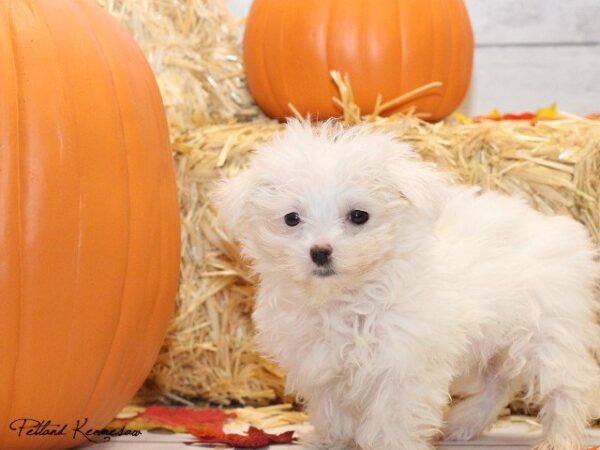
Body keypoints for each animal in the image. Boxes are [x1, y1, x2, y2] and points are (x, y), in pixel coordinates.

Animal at [216, 121, 600, 450]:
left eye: (359, 216)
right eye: (292, 219)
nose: (320, 251)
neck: (347, 299)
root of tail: (561, 232)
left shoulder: (403, 364)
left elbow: (392, 417)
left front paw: (389, 443)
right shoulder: (323, 366)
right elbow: (333, 411)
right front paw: (332, 440)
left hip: (547, 334)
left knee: (569, 386)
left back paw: (561, 437)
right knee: (499, 383)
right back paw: (464, 424)